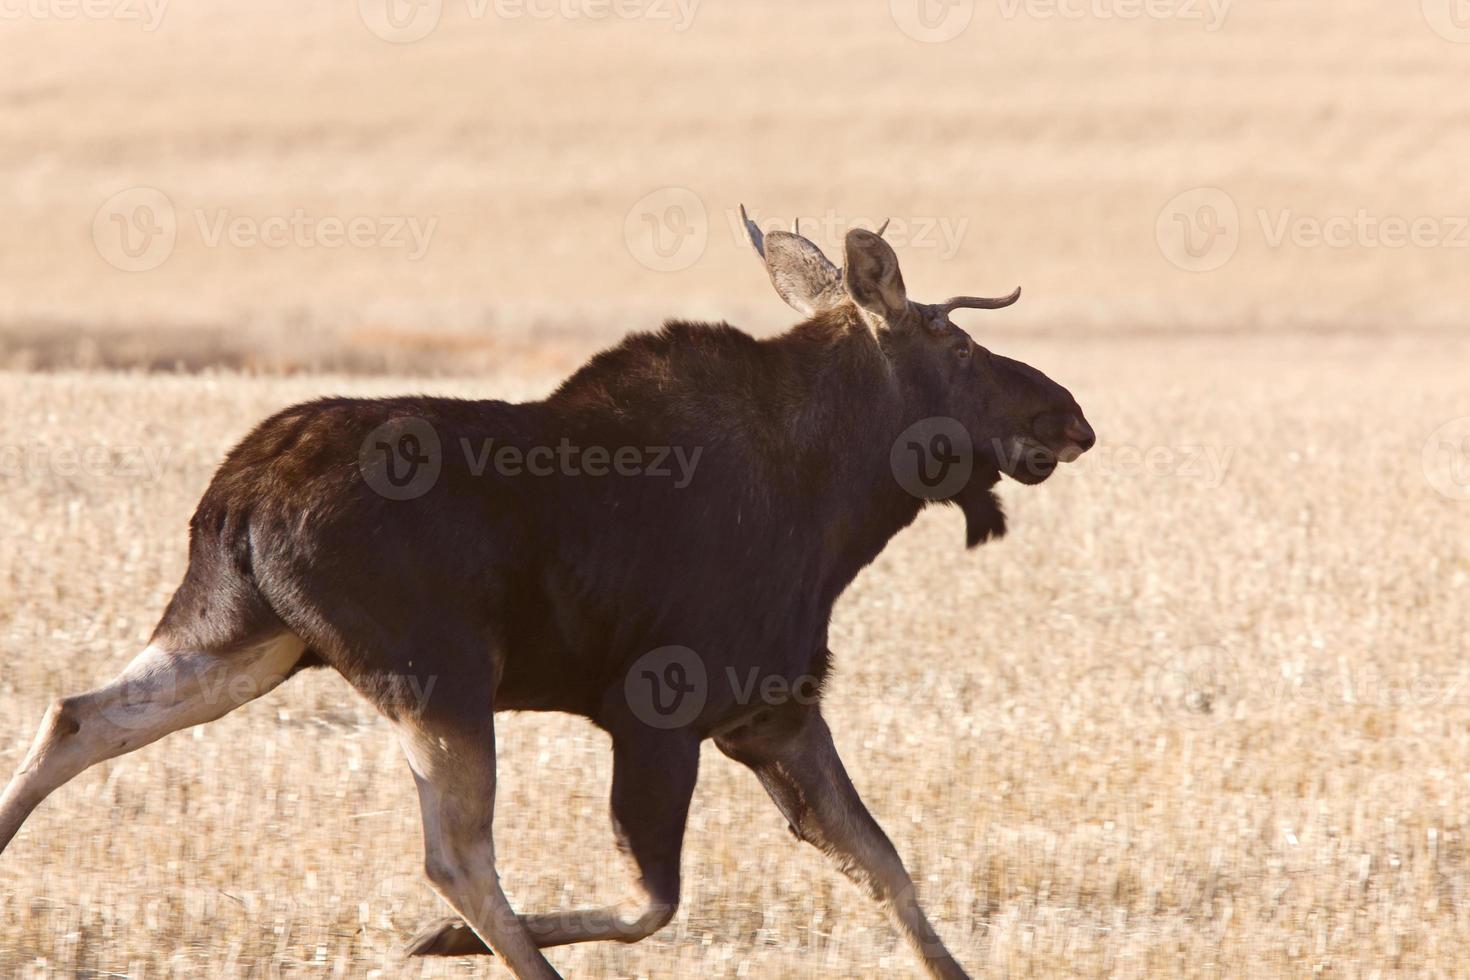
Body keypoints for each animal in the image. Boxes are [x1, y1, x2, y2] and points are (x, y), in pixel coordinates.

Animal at [0, 208, 1093, 980]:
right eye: (957, 348)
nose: (1070, 414)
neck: (843, 507)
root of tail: (238, 495)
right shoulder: (661, 707)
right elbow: (656, 897)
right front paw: (442, 942)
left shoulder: (773, 708)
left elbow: (888, 868)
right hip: (437, 671)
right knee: (458, 856)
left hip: (242, 638)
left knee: (78, 715)